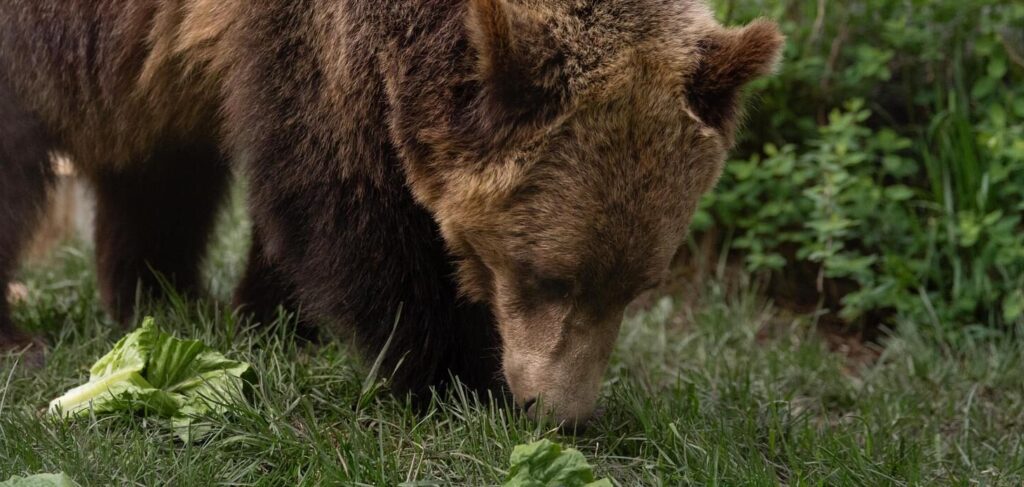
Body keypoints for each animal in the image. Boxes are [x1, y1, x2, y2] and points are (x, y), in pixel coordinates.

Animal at [0, 0, 782, 425]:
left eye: (639, 285)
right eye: (546, 275)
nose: (559, 412)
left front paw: (273, 320)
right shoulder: (316, 46)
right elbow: (350, 206)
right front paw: (456, 377)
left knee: (159, 169)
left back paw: (164, 296)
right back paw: (22, 336)